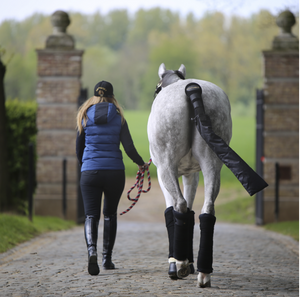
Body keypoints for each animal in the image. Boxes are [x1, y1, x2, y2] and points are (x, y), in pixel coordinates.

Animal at [147, 63, 232, 286]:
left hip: (166, 167)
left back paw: (181, 264)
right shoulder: (191, 175)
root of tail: (193, 90)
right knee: (207, 210)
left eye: (156, 88)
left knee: (180, 205)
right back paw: (203, 273)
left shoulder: (165, 173)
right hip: (212, 164)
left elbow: (172, 211)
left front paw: (176, 262)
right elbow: (191, 212)